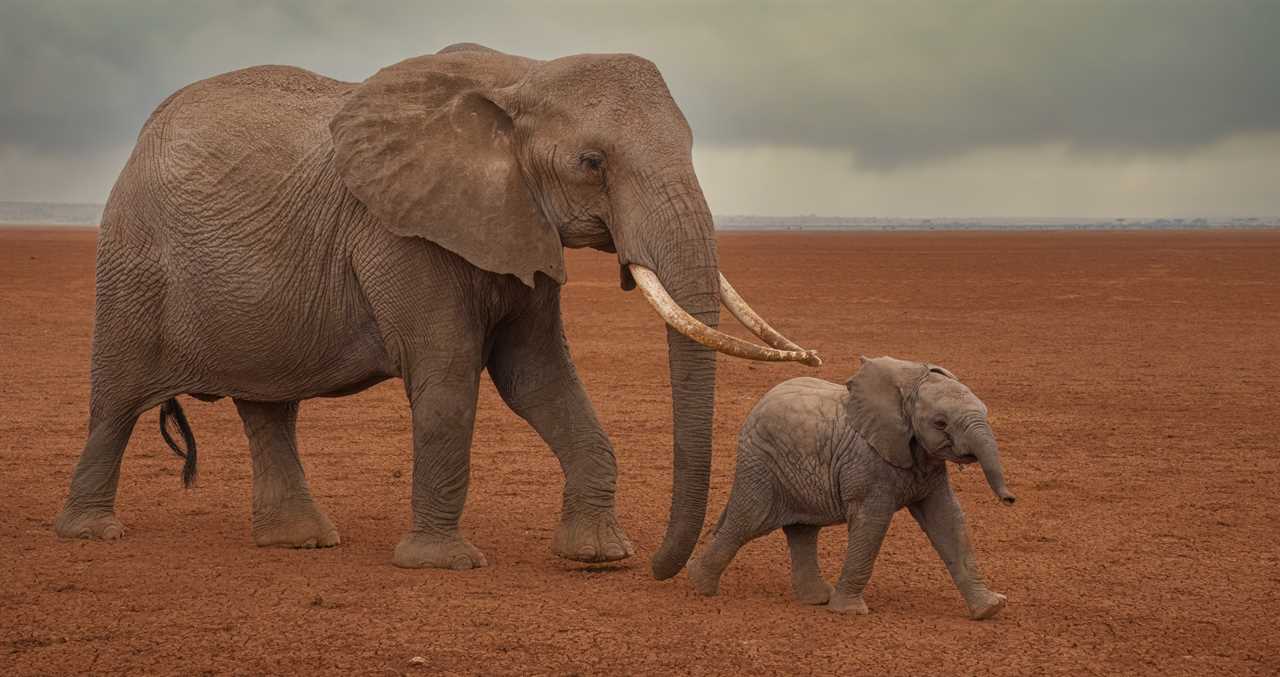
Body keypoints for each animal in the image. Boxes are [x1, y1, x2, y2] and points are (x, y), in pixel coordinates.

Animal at [52, 43, 821, 578]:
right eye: (592, 162)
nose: (665, 570)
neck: (520, 77)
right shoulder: (402, 232)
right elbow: (450, 379)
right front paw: (443, 563)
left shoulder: (517, 223)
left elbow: (537, 378)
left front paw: (600, 556)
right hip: (132, 260)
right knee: (117, 401)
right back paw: (90, 533)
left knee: (269, 407)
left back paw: (300, 541)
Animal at [687, 356, 1015, 619]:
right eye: (940, 423)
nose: (1010, 499)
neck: (906, 387)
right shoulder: (866, 464)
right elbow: (872, 524)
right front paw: (850, 612)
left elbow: (948, 520)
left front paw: (990, 609)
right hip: (761, 465)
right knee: (746, 522)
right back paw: (700, 587)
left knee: (802, 530)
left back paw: (816, 599)